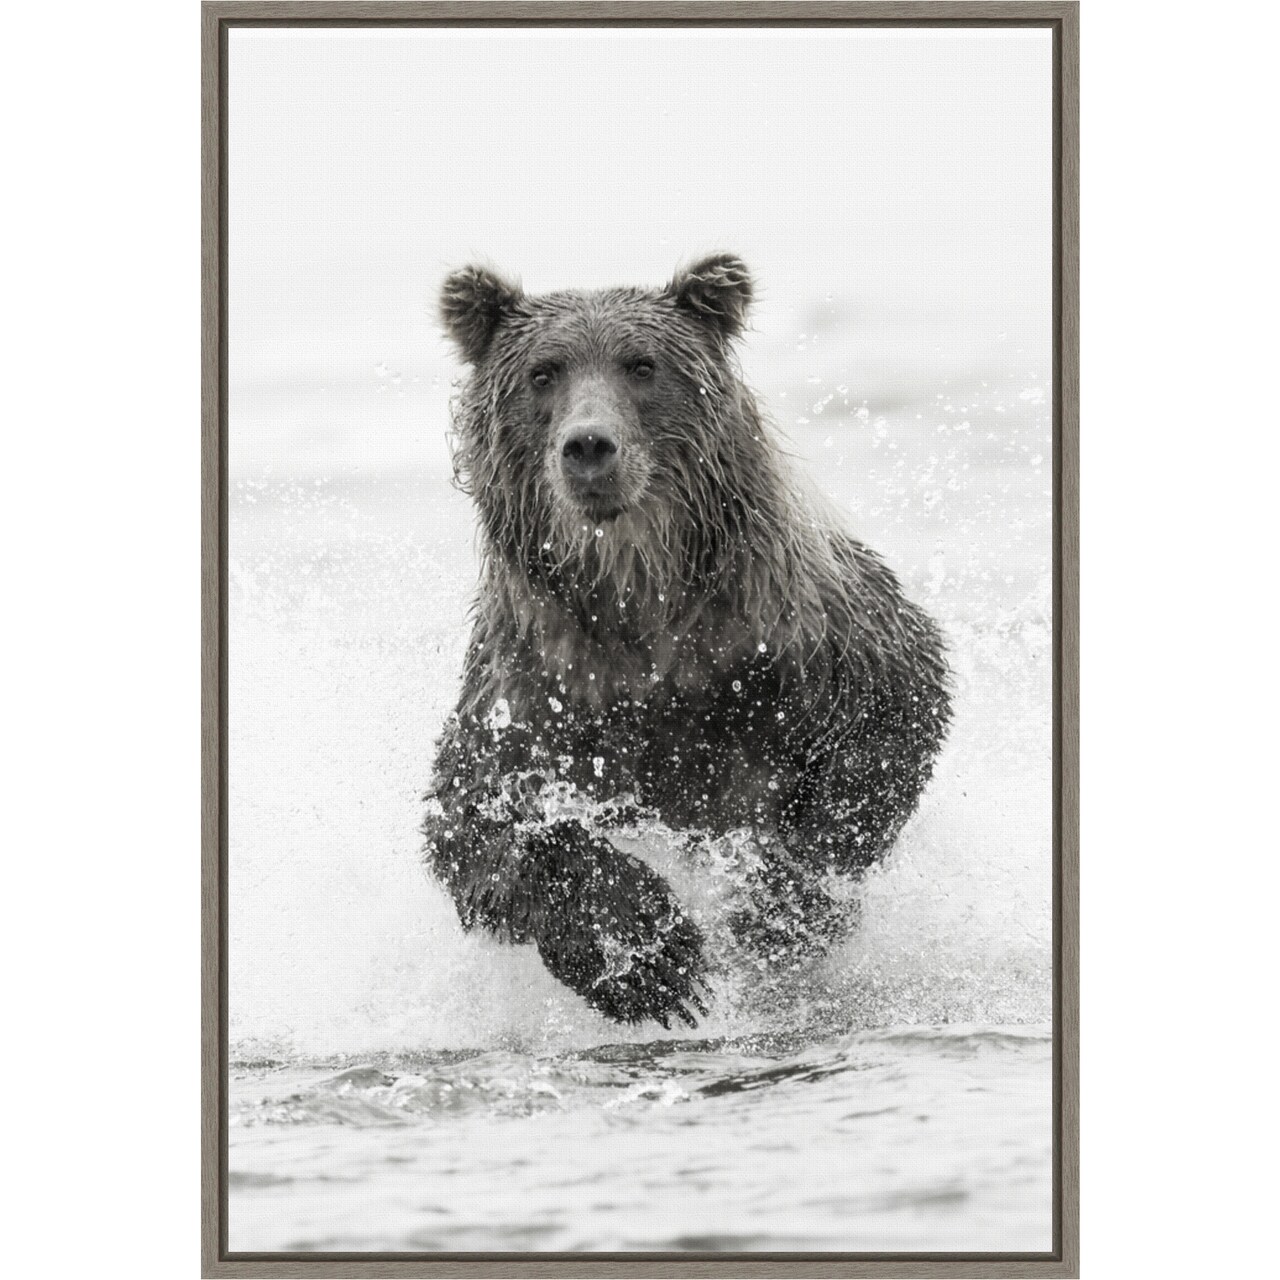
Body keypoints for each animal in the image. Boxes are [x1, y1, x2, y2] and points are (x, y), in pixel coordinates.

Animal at [422, 254, 951, 1029]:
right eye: (544, 373)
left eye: (642, 365)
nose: (589, 445)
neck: (640, 599)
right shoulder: (536, 687)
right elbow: (481, 825)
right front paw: (652, 959)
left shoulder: (799, 639)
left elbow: (884, 733)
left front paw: (777, 910)